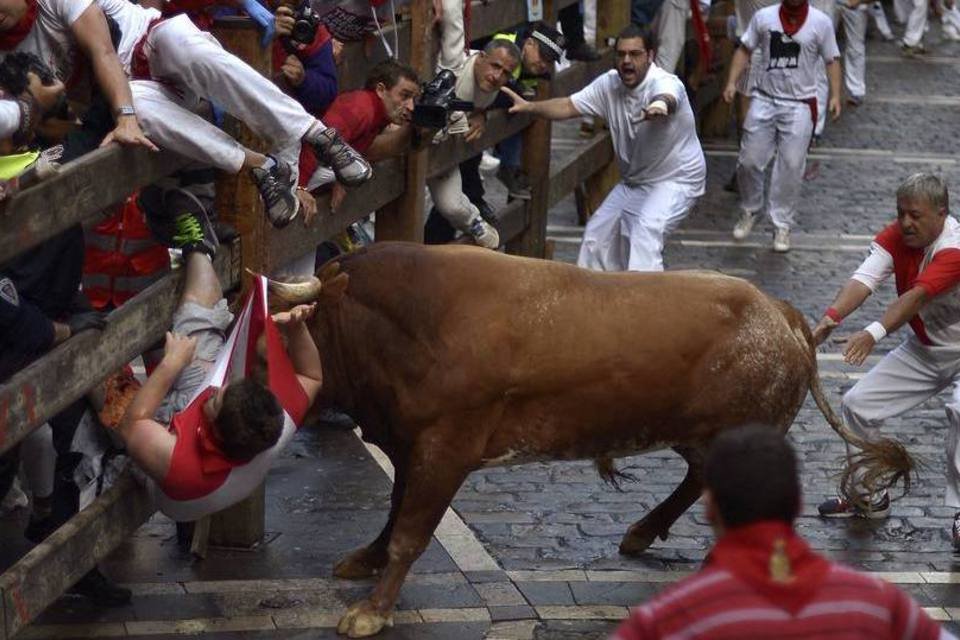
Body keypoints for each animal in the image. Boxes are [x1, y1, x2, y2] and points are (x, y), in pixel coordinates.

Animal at [268, 242, 908, 636]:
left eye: (284, 330)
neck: (412, 323)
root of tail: (780, 314)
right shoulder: (408, 445)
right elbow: (394, 512)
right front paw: (365, 559)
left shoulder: (444, 449)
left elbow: (410, 531)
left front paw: (372, 612)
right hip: (694, 434)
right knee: (697, 478)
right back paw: (641, 534)